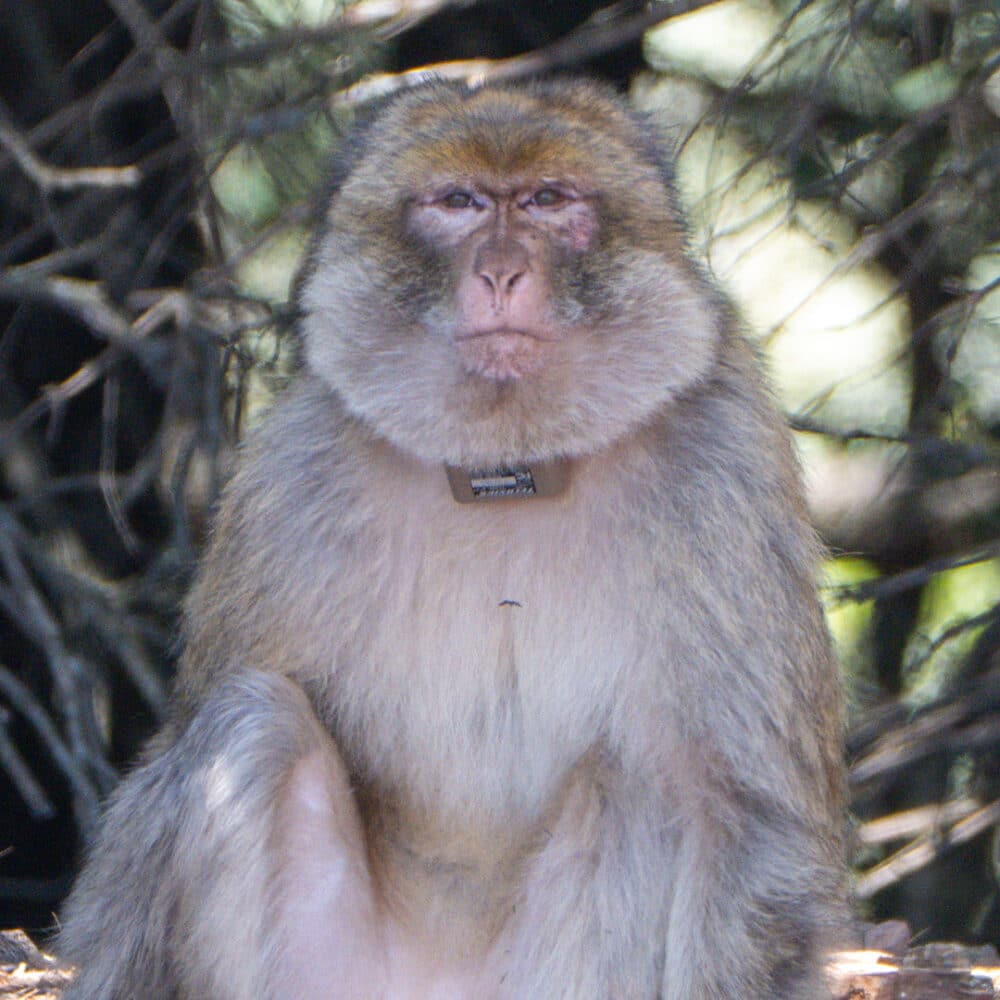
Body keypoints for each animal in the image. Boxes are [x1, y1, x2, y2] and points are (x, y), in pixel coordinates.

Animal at [58, 78, 847, 999]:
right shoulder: (293, 475)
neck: (504, 469)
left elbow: (743, 811)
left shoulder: (726, 461)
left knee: (647, 783)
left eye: (548, 201)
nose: (501, 271)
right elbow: (172, 759)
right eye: (460, 203)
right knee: (249, 723)